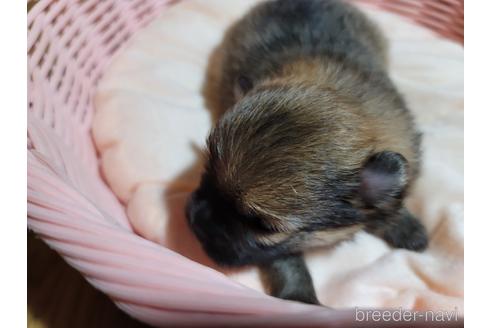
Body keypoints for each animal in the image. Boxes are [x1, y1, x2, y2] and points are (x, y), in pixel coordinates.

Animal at [184, 0, 426, 304]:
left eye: (263, 227)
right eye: (206, 170)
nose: (196, 221)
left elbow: (390, 204)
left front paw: (406, 227)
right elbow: (285, 260)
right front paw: (298, 295)